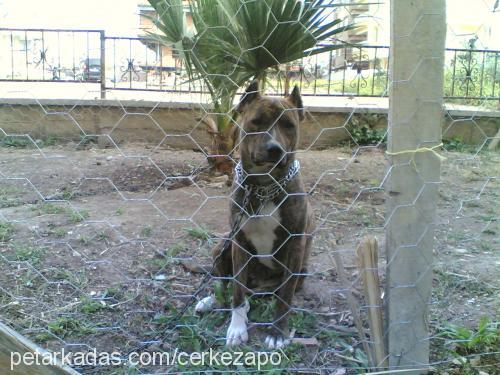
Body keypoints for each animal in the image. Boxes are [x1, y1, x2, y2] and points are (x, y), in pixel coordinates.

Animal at [194, 81, 314, 350]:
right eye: (256, 121)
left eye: (289, 125)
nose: (274, 149)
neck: (263, 187)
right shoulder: (239, 243)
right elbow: (236, 292)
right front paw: (237, 328)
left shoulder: (294, 246)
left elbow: (284, 298)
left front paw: (278, 332)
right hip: (222, 245)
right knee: (226, 284)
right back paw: (211, 300)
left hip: (299, 272)